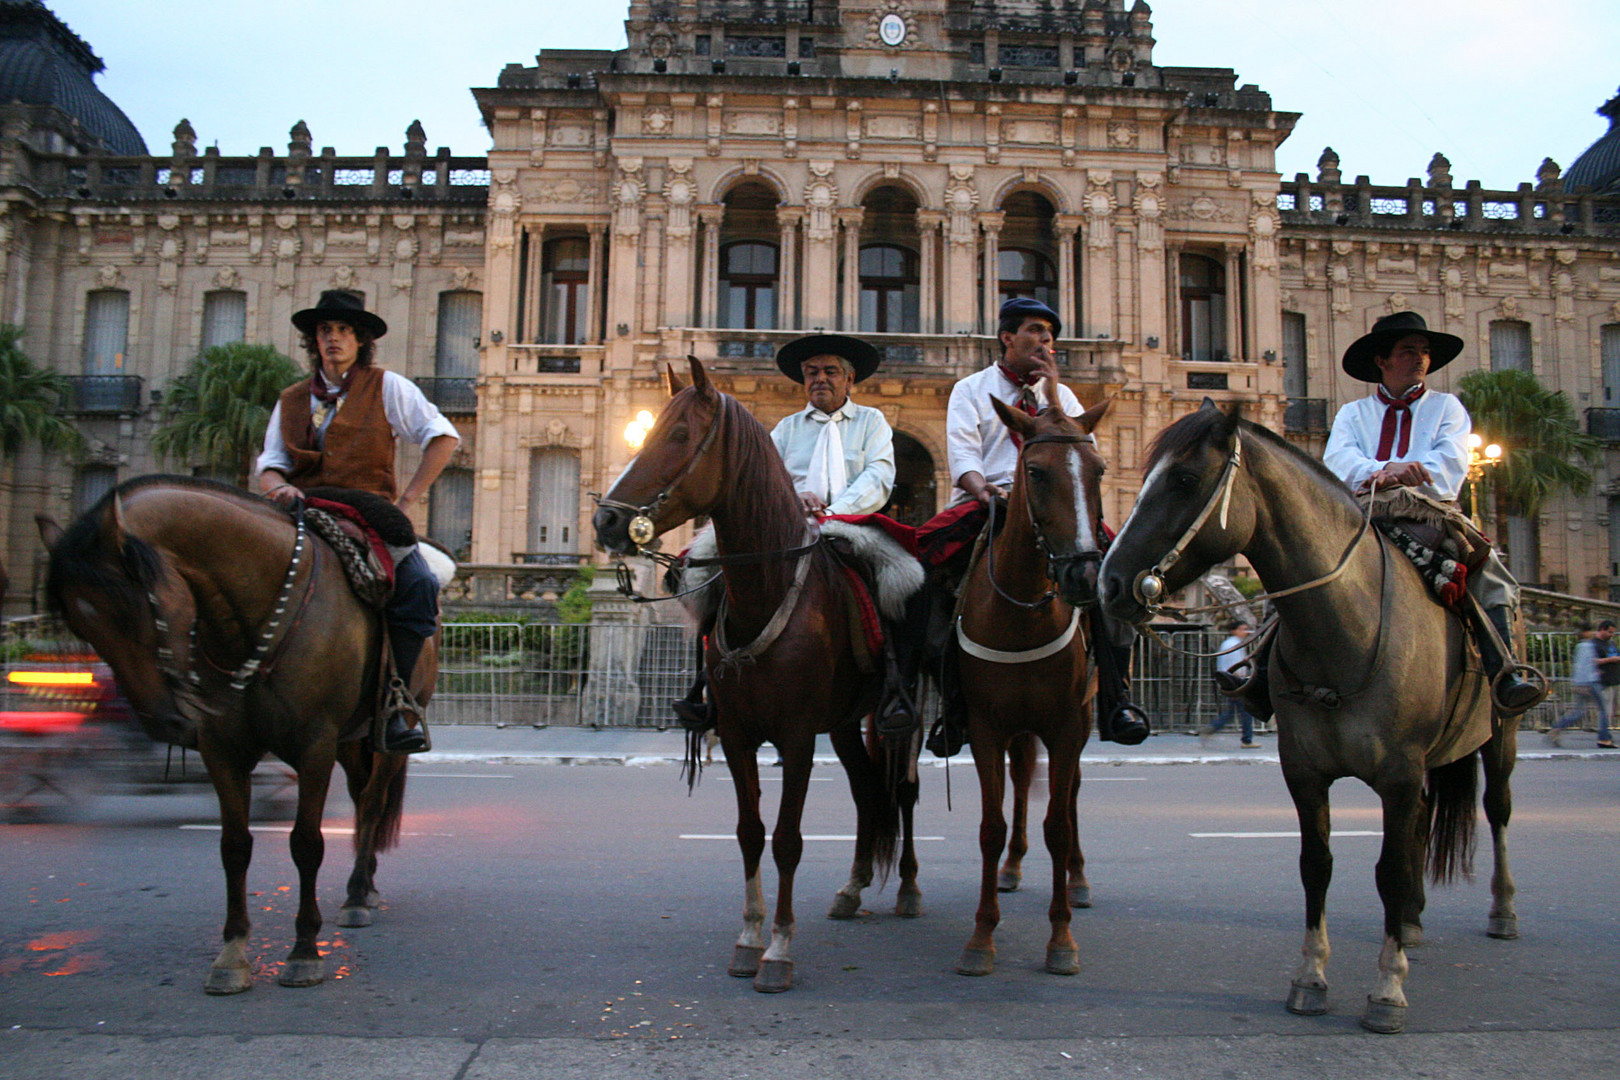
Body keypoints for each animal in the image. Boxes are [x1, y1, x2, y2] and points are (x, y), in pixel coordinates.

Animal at [42, 479, 437, 997]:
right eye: (80, 625)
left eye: (131, 607)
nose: (163, 722)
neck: (243, 618)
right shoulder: (221, 749)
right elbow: (234, 846)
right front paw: (232, 952)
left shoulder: (314, 746)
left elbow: (306, 843)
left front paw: (304, 951)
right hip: (352, 741)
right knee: (360, 800)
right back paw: (365, 884)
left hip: (388, 731)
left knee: (372, 802)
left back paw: (355, 895)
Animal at [592, 359, 926, 990]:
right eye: (646, 431)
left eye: (679, 435)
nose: (606, 520)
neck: (763, 586)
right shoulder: (739, 736)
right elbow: (750, 834)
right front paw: (749, 938)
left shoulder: (795, 740)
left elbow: (788, 840)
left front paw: (779, 949)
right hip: (843, 723)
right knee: (868, 791)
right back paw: (853, 887)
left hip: (904, 715)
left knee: (903, 790)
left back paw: (911, 889)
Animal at [946, 390, 1114, 977]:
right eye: (1035, 472)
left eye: (1099, 469)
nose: (1084, 576)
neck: (1019, 613)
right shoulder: (985, 726)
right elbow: (990, 827)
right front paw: (980, 937)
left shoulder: (1066, 724)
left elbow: (1058, 824)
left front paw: (1061, 939)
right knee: (1021, 781)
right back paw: (1013, 868)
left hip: (1082, 717)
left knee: (1071, 794)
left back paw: (1081, 880)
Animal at [1101, 401, 1516, 1036]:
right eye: (1143, 479)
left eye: (1185, 480)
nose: (1110, 581)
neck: (1343, 629)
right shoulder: (1303, 771)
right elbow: (1316, 864)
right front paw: (1311, 978)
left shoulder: (1398, 774)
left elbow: (1388, 870)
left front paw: (1388, 990)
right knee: (1424, 821)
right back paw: (1412, 921)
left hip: (1500, 732)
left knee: (1496, 810)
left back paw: (1501, 910)